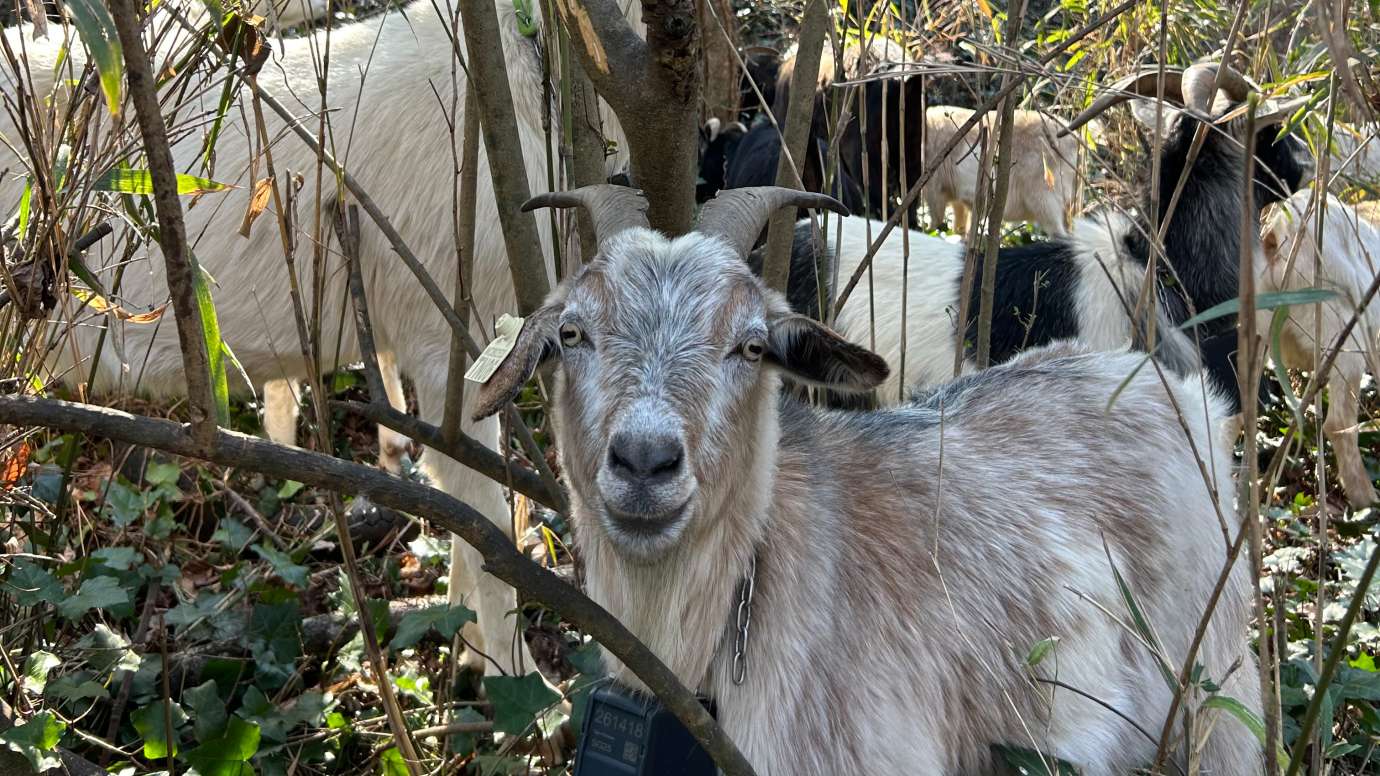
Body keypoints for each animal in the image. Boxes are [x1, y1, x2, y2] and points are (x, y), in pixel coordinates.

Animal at [922, 105, 1081, 236]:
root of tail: (1074, 141)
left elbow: (935, 223)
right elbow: (959, 228)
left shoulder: (934, 189)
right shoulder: (956, 198)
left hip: (1045, 199)